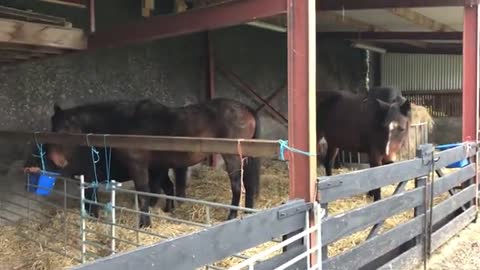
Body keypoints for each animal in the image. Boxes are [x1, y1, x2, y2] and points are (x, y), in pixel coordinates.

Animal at [47, 98, 262, 227]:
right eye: (53, 127)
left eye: (66, 128)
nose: (55, 160)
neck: (125, 122)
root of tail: (246, 108)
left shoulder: (139, 166)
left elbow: (144, 193)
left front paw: (145, 223)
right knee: (249, 185)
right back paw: (248, 212)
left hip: (232, 157)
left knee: (237, 187)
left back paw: (232, 216)